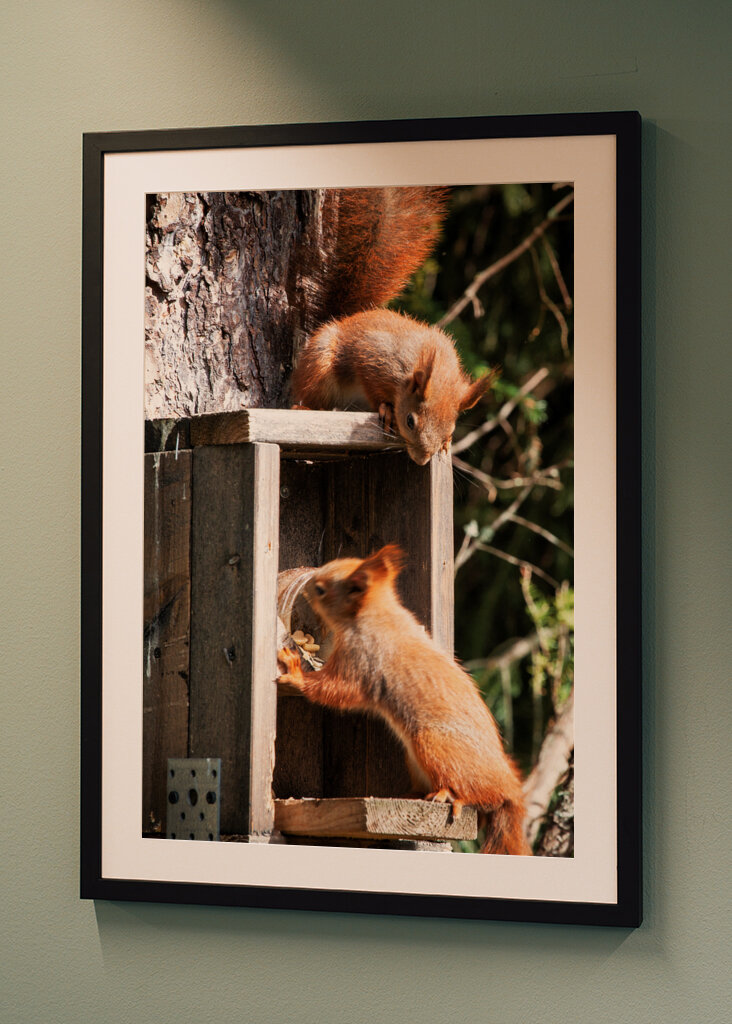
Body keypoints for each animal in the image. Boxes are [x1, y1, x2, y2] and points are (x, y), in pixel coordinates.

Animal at [276, 544, 531, 856]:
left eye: (322, 589)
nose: (307, 587)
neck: (374, 614)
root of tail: (508, 786)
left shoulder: (362, 662)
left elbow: (334, 690)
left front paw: (295, 674)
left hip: (433, 744)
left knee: (477, 794)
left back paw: (451, 795)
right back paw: (413, 794)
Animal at [292, 187, 497, 465]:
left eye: (452, 427)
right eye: (410, 421)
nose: (422, 460)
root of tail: (347, 318)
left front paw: (446, 443)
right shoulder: (372, 357)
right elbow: (373, 388)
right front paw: (387, 409)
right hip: (320, 362)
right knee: (315, 396)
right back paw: (303, 407)